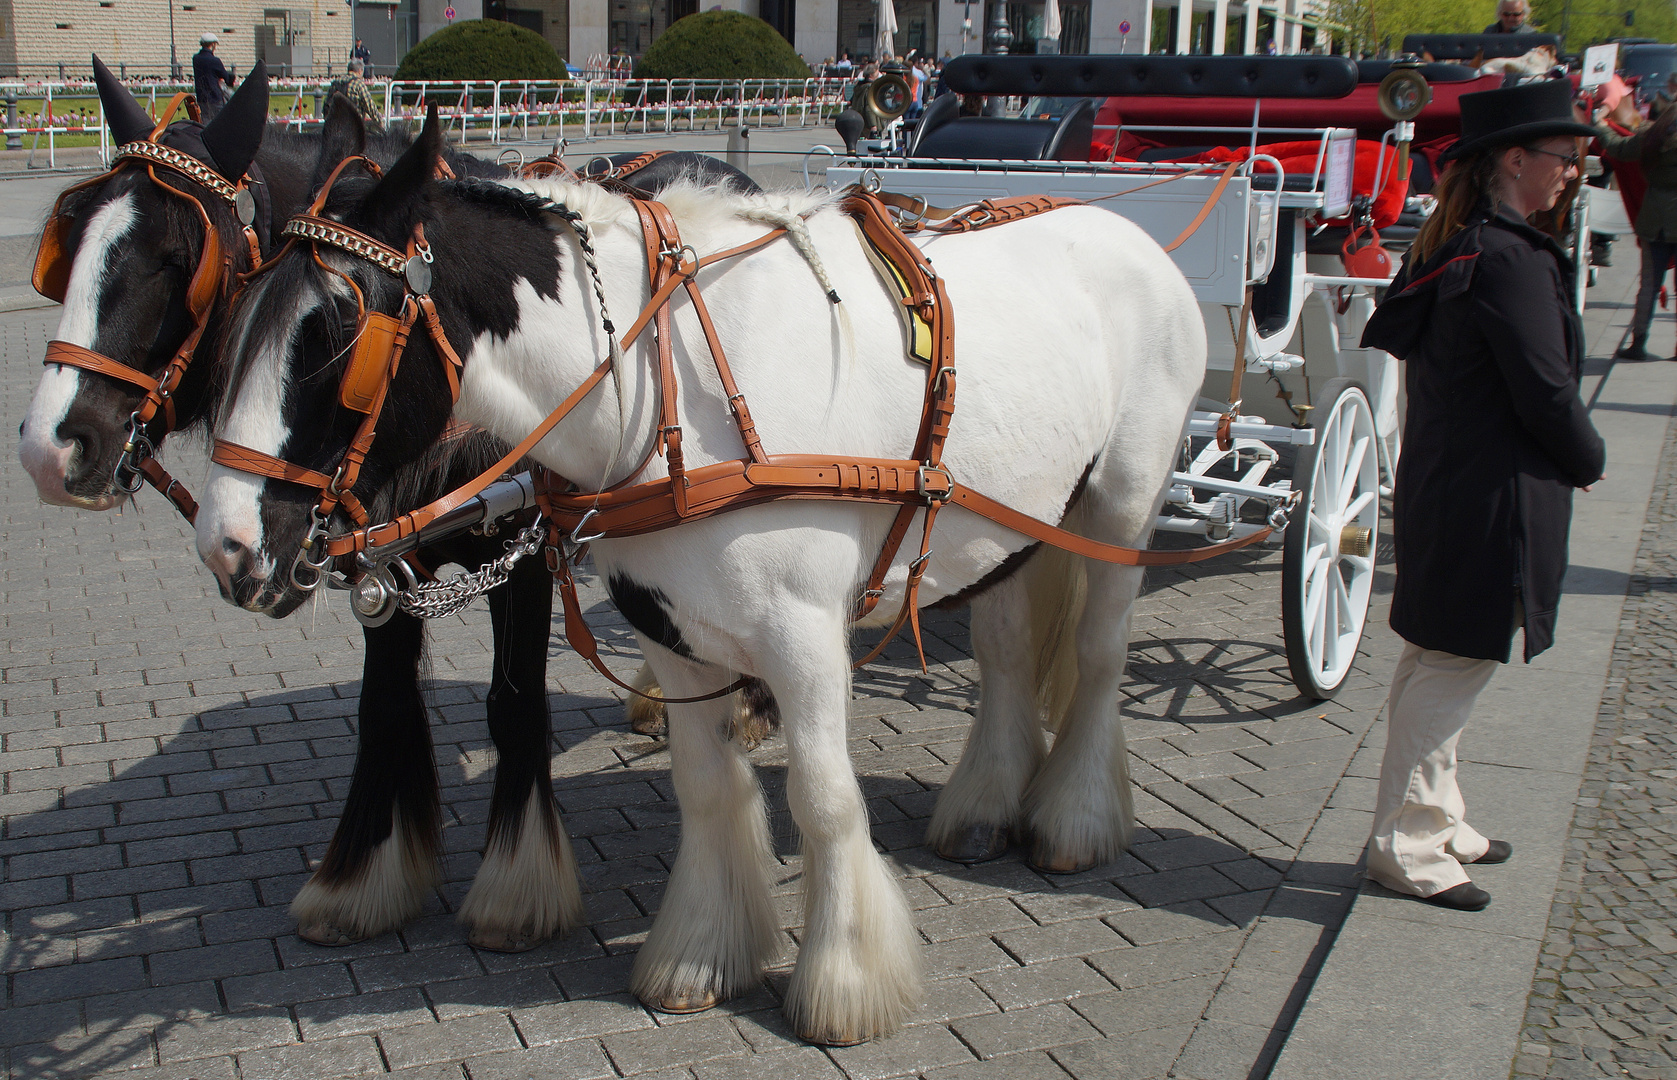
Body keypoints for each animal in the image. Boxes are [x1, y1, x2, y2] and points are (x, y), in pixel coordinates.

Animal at [11, 63, 754, 952]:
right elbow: (385, 707)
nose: (50, 448)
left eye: (175, 256)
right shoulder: (375, 559)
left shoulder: (521, 549)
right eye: (68, 244)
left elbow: (513, 704)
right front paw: (363, 878)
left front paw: (517, 888)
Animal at [199, 114, 1207, 1039]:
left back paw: (1073, 821)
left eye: (336, 335)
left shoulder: (804, 642)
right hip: (1007, 529)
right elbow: (708, 788)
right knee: (1003, 652)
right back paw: (986, 805)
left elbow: (824, 801)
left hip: (1122, 506)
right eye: (236, 317)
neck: (664, 388)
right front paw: (700, 958)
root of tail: (1121, 232)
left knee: (1099, 653)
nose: (228, 547)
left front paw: (845, 986)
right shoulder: (673, 634)